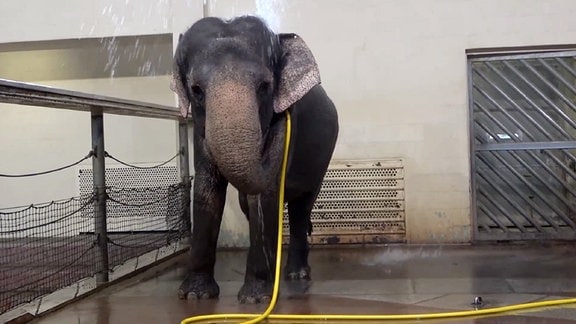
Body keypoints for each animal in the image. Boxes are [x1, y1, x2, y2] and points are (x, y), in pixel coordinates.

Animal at [170, 15, 338, 304]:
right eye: (196, 90)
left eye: (265, 87)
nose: (269, 134)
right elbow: (207, 190)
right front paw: (195, 295)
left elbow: (264, 196)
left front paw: (255, 299)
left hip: (323, 157)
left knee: (301, 207)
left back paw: (296, 275)